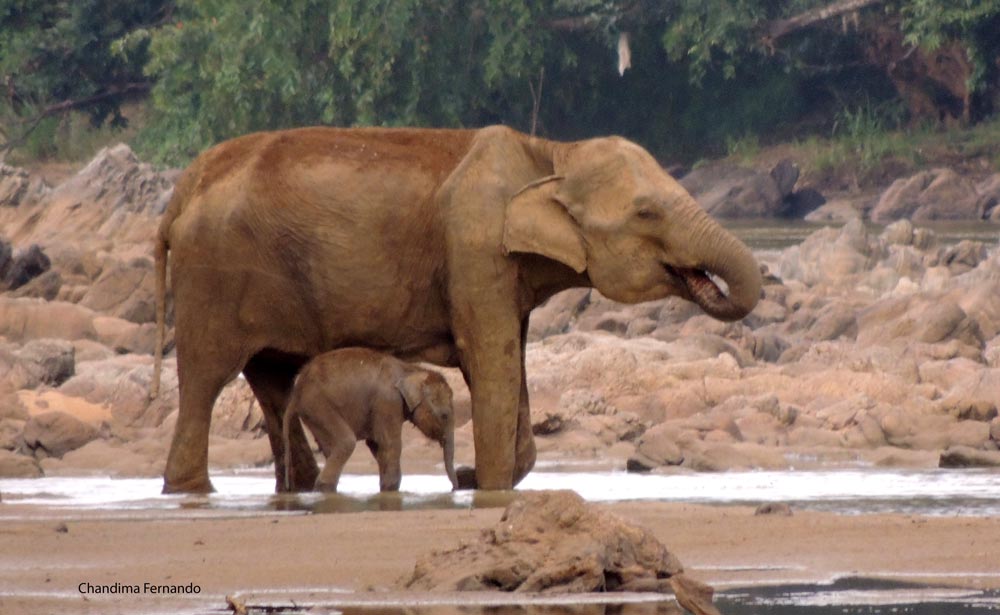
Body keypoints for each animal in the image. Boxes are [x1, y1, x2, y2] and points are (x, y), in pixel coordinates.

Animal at [278, 348, 458, 494]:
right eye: (444, 416)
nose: (454, 489)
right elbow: (390, 444)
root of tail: (297, 391)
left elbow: (376, 445)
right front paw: (390, 490)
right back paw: (324, 489)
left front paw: (386, 488)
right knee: (346, 442)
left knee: (331, 448)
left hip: (313, 412)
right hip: (317, 405)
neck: (412, 370)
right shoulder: (387, 402)